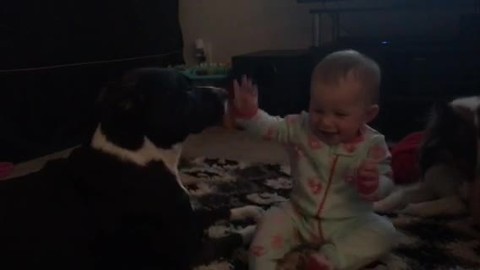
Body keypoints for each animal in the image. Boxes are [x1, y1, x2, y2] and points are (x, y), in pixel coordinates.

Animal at [0, 68, 262, 270]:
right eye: (185, 91)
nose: (225, 92)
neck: (141, 156)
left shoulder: (187, 216)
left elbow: (218, 209)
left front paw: (251, 209)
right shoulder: (188, 252)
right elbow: (233, 237)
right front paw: (255, 229)